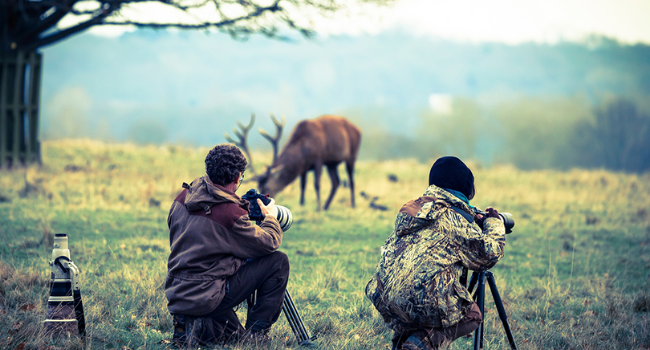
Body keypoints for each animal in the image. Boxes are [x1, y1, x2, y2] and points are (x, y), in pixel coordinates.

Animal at [225, 113, 362, 211]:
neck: (303, 152)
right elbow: (303, 185)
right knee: (336, 181)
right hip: (332, 163)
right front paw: (302, 205)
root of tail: (358, 129)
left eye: (268, 186)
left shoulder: (319, 159)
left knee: (351, 180)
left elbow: (316, 184)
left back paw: (352, 205)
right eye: (259, 187)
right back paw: (326, 206)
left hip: (352, 154)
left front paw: (318, 208)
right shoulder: (304, 168)